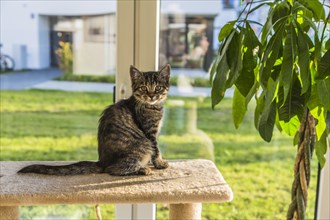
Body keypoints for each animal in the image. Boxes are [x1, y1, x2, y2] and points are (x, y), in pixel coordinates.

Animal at [18, 64, 171, 176]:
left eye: (158, 87)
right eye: (144, 88)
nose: (151, 96)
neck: (152, 106)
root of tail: (101, 161)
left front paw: (157, 162)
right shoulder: (149, 133)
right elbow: (156, 149)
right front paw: (160, 163)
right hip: (143, 144)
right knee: (112, 169)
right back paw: (142, 169)